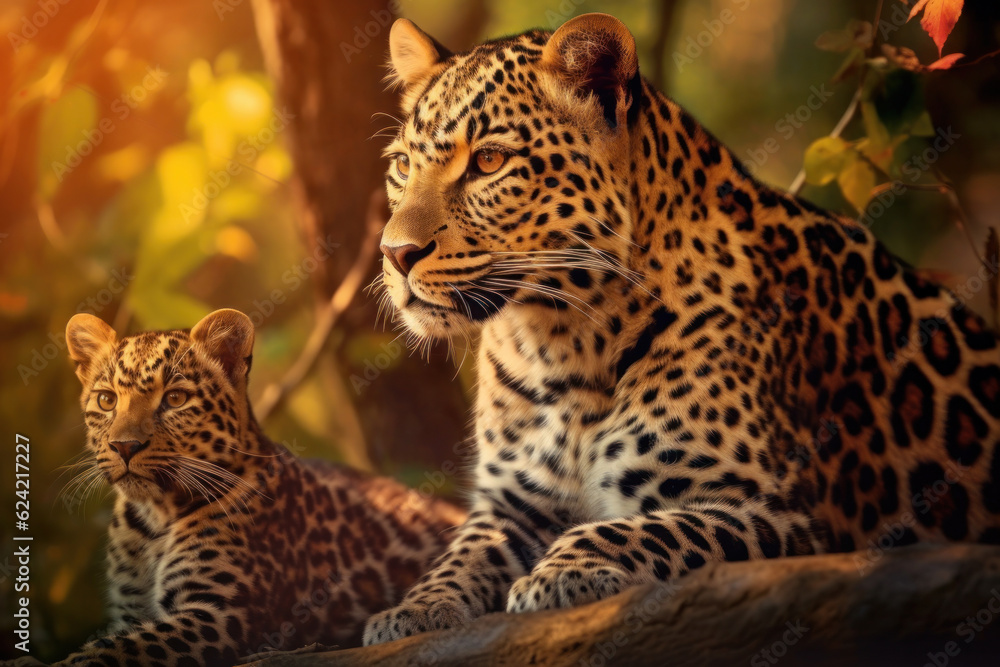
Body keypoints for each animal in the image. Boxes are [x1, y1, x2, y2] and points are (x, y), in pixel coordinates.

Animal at [52, 308, 463, 665]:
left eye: (175, 399)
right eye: (107, 400)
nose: (124, 446)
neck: (152, 519)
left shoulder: (219, 613)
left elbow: (118, 648)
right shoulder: (132, 609)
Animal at [363, 13, 1000, 644]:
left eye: (489, 162)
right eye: (402, 166)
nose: (395, 254)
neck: (559, 341)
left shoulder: (778, 515)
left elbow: (635, 528)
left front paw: (562, 573)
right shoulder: (511, 507)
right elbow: (459, 556)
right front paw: (411, 610)